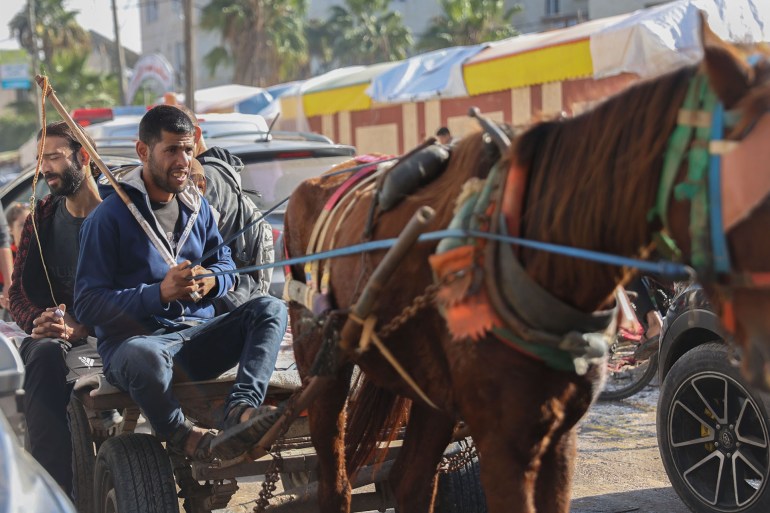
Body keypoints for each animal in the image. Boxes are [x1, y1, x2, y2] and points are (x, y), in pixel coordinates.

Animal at [284, 23, 768, 512]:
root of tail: (312, 182)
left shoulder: (559, 433)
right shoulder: (503, 440)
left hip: (432, 394)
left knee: (410, 481)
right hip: (323, 368)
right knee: (335, 482)